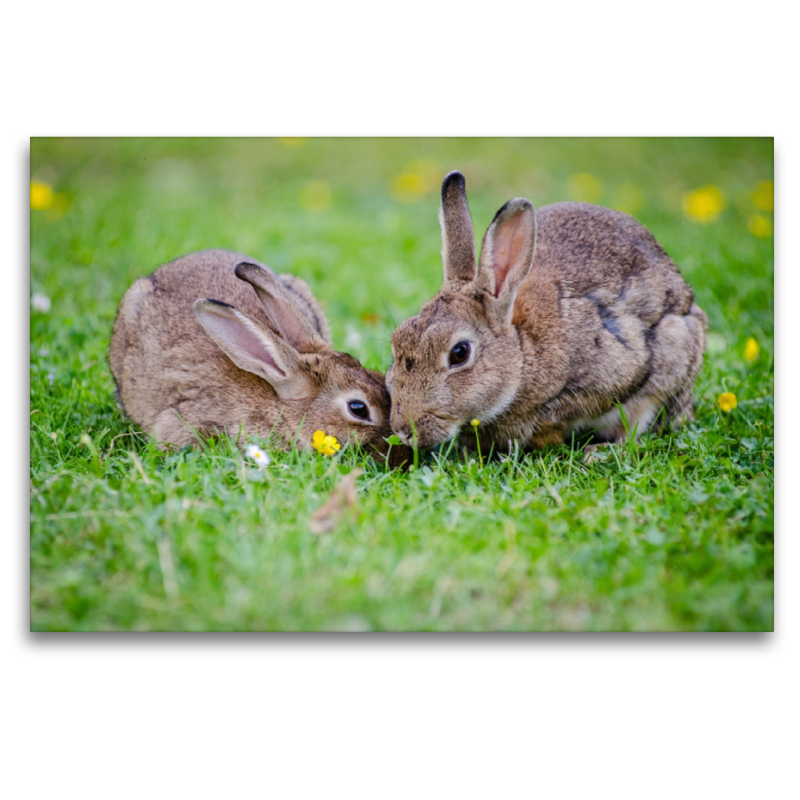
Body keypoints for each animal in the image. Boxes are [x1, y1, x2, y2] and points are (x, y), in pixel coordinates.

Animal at [388, 171, 708, 454]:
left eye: (459, 353)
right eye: (397, 340)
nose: (404, 430)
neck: (522, 353)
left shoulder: (613, 373)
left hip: (673, 354)